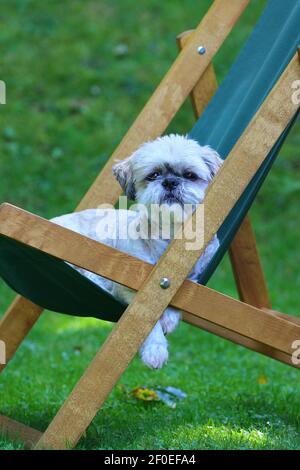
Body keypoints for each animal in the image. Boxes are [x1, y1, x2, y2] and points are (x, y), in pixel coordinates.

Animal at [52, 134, 223, 370]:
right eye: (154, 175)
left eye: (190, 175)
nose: (170, 182)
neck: (170, 237)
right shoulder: (130, 289)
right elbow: (145, 316)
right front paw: (155, 349)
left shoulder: (199, 274)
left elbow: (183, 289)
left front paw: (169, 317)